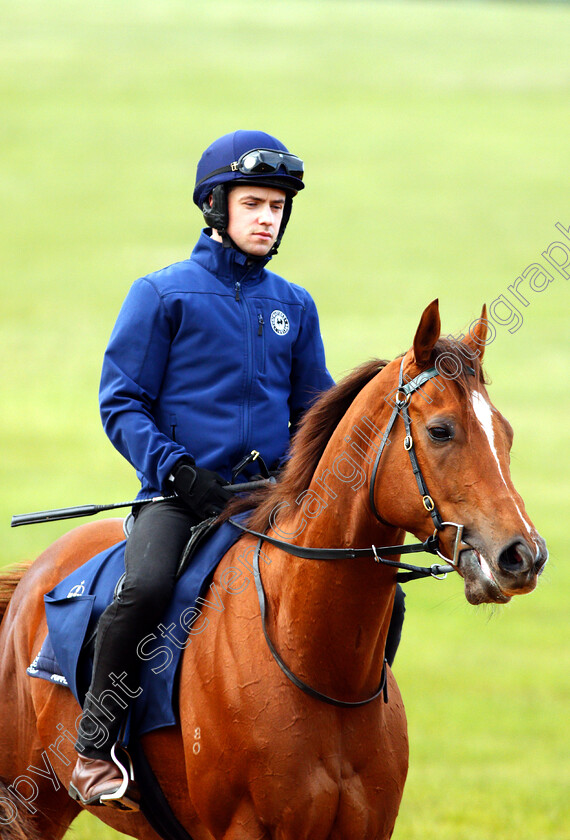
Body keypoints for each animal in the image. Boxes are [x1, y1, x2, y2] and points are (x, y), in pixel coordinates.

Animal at [2, 304, 548, 840]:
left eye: (506, 433)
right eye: (440, 430)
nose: (523, 554)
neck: (320, 667)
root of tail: (33, 577)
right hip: (29, 807)